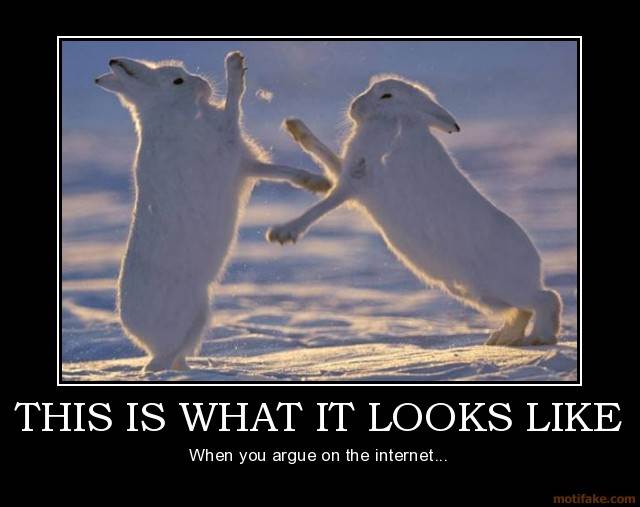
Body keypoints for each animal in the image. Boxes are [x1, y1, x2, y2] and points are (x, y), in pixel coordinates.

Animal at [95, 51, 331, 371]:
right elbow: (233, 105)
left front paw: (321, 183)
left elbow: (284, 172)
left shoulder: (244, 164)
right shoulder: (226, 143)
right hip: (191, 316)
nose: (203, 84)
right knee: (168, 358)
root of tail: (148, 343)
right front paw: (234, 66)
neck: (170, 113)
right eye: (178, 81)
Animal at [267, 75, 561, 346]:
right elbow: (326, 159)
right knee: (523, 310)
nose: (354, 106)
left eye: (386, 95)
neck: (397, 119)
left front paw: (282, 233)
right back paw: (503, 338)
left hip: (501, 285)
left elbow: (324, 204)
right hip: (480, 294)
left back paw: (540, 337)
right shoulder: (351, 177)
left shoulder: (356, 182)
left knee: (546, 299)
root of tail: (535, 264)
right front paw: (294, 127)